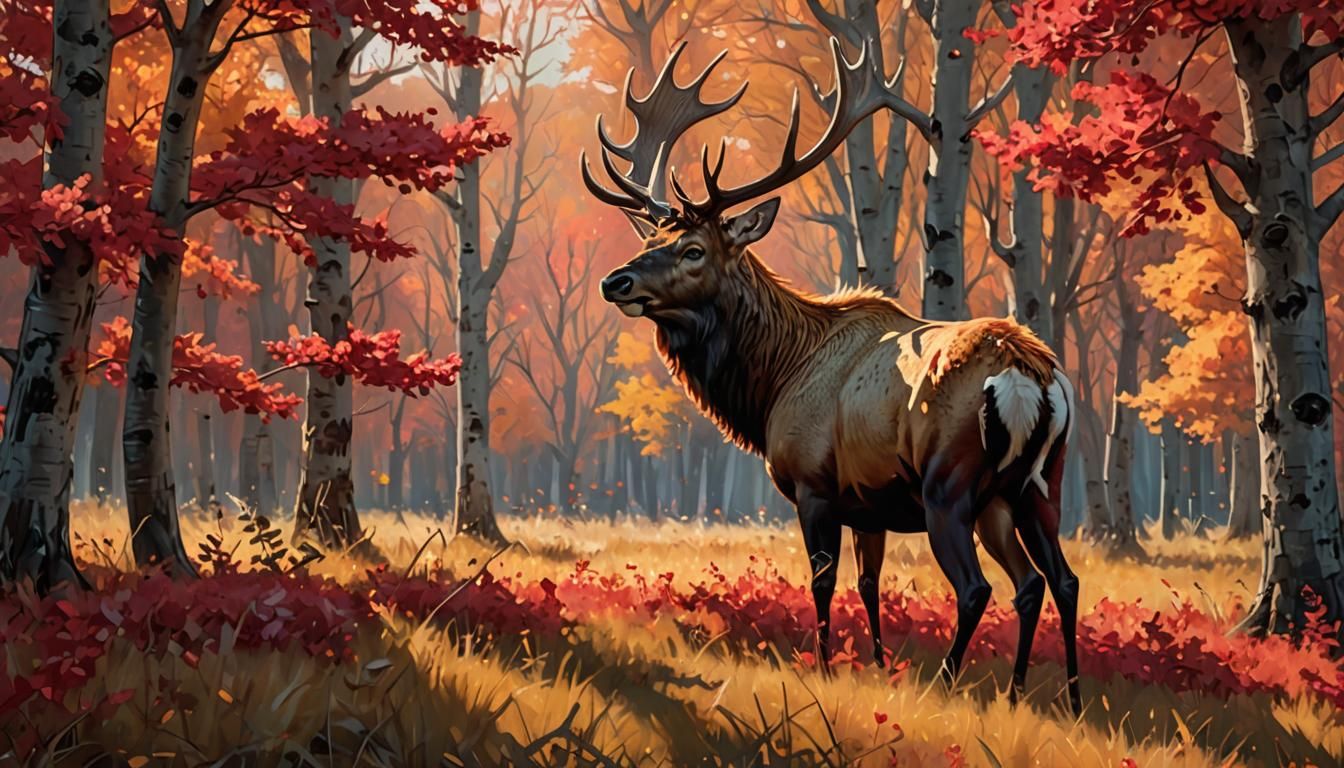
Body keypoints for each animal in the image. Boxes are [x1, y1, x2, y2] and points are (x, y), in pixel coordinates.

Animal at [582, 40, 1082, 716]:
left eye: (693, 249)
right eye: (654, 236)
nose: (617, 281)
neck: (775, 379)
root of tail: (1030, 376)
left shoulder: (813, 481)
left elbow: (822, 581)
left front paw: (821, 667)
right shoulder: (868, 502)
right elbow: (869, 583)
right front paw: (877, 664)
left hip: (949, 484)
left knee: (979, 586)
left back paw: (950, 682)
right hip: (1031, 486)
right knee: (1051, 579)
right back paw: (1051, 695)